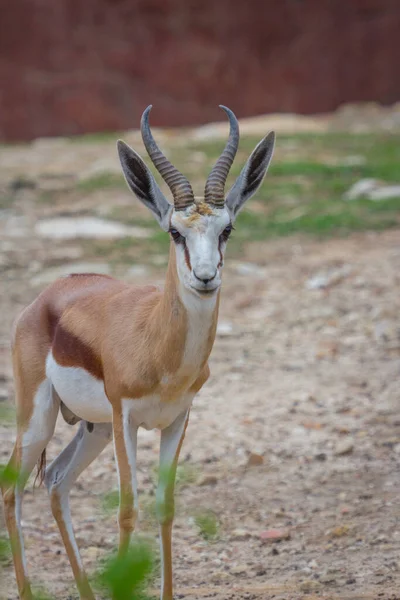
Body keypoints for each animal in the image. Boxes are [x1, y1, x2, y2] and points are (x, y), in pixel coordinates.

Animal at [1, 106, 276, 600]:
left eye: (226, 229)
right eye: (175, 232)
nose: (205, 277)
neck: (160, 351)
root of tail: (48, 295)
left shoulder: (178, 418)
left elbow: (165, 506)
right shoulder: (126, 417)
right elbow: (128, 509)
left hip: (92, 427)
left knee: (56, 482)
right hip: (40, 417)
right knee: (13, 488)